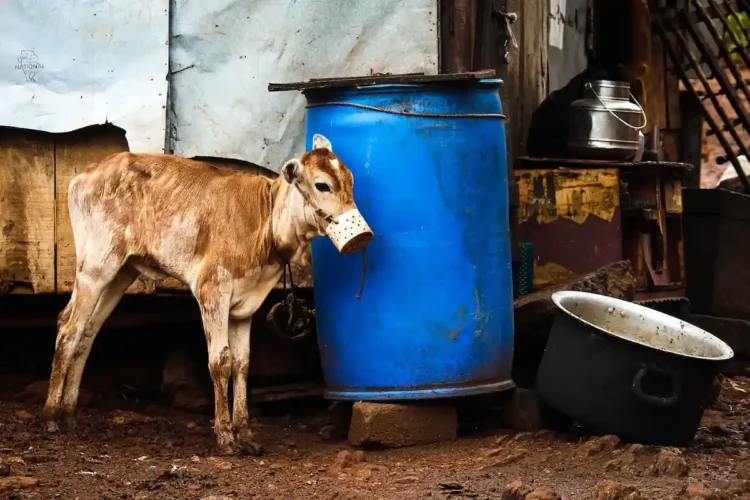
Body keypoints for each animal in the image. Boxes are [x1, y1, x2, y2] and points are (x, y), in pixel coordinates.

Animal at [43, 134, 371, 455]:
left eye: (350, 180)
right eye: (322, 185)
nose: (363, 235)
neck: (264, 222)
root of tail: (87, 173)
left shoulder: (246, 305)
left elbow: (242, 363)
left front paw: (245, 433)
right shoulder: (212, 290)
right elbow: (220, 362)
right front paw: (225, 435)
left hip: (121, 272)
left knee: (86, 331)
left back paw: (69, 415)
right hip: (96, 265)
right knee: (69, 330)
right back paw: (51, 417)